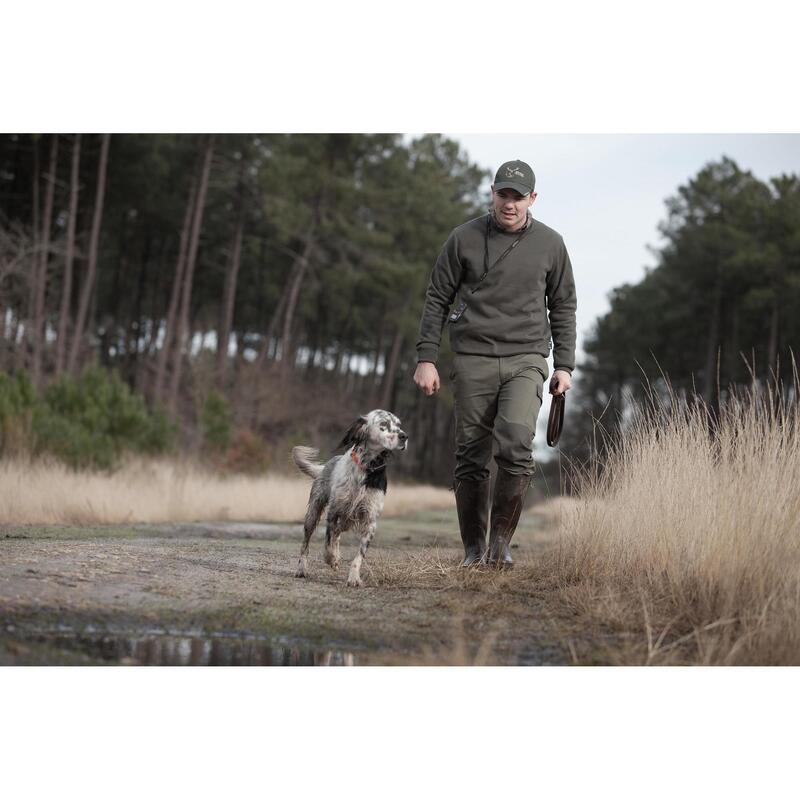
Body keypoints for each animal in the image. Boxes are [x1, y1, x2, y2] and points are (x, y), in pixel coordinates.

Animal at [290, 412, 410, 588]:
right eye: (383, 424)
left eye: (399, 424)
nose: (404, 436)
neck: (366, 467)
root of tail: (325, 466)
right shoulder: (334, 512)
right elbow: (327, 542)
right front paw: (331, 558)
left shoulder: (370, 521)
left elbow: (359, 555)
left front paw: (354, 577)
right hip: (313, 513)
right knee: (306, 544)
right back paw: (302, 568)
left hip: (346, 521)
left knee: (337, 534)